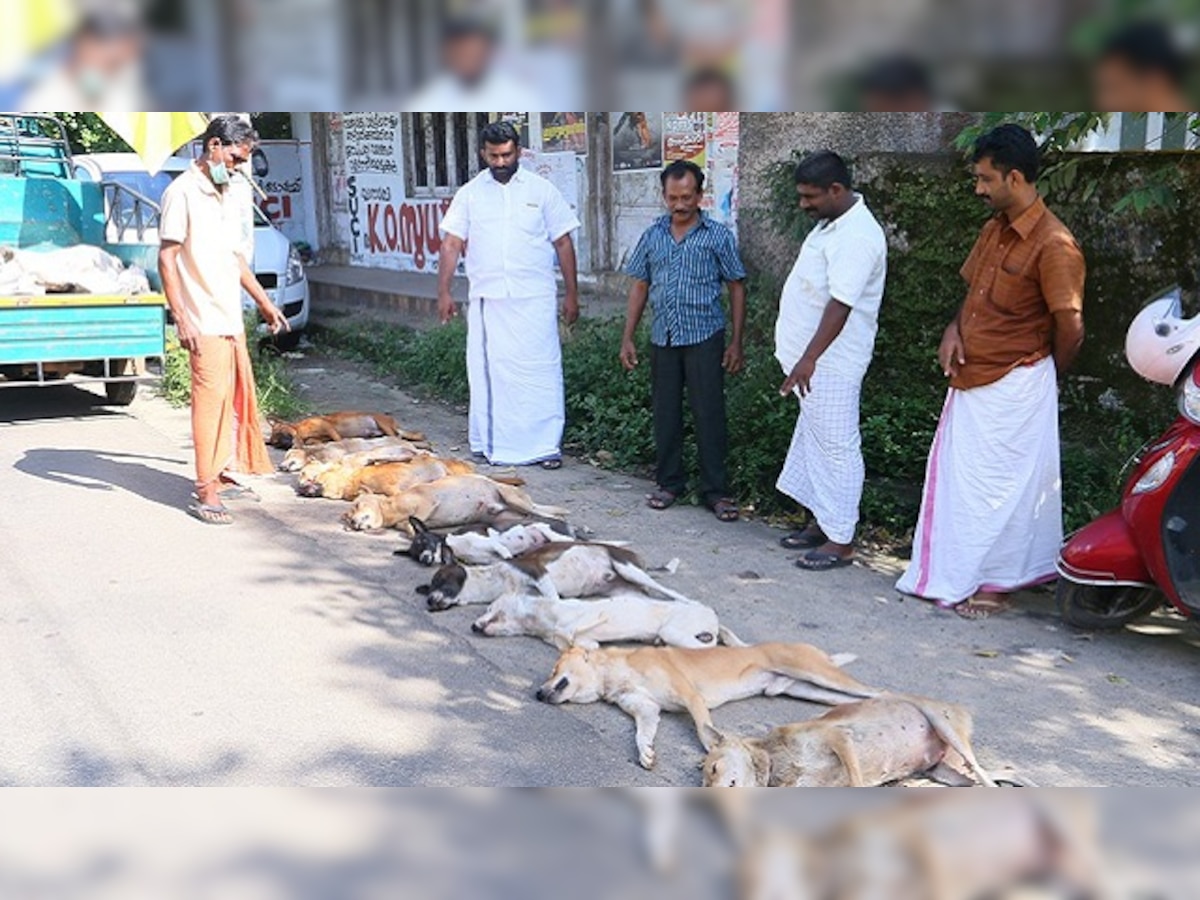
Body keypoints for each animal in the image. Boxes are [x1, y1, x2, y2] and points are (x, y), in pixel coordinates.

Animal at [537, 643, 883, 772]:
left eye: (553, 670)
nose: (538, 694)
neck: (615, 672)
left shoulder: (692, 697)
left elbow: (705, 730)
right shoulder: (646, 709)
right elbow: (642, 733)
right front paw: (646, 752)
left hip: (816, 672)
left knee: (878, 690)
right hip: (809, 690)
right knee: (855, 699)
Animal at [700, 696, 993, 787]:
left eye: (713, 769)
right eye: (704, 783)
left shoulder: (839, 737)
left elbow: (856, 780)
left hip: (945, 726)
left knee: (983, 773)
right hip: (944, 773)